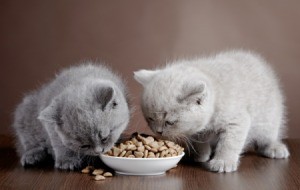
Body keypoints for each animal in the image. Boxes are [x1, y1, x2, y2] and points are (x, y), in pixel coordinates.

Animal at [134, 50, 288, 172]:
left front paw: (223, 162)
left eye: (170, 122)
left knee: (269, 136)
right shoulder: (196, 129)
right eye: (150, 118)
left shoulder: (237, 121)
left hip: (269, 120)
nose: (158, 131)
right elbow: (199, 141)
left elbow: (229, 144)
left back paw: (275, 148)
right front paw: (201, 155)